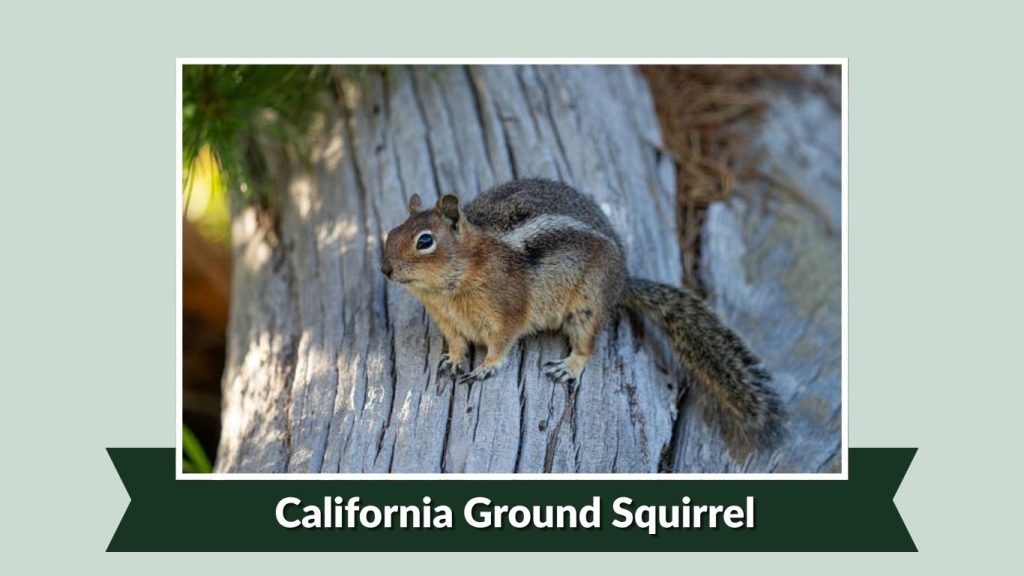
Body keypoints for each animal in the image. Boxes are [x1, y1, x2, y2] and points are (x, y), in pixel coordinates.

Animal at [381, 178, 783, 451]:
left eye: (425, 241)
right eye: (390, 232)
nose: (384, 269)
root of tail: (622, 280)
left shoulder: (507, 313)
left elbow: (501, 345)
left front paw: (485, 368)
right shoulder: (448, 322)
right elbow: (457, 343)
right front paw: (452, 360)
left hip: (588, 307)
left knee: (588, 344)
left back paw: (568, 366)